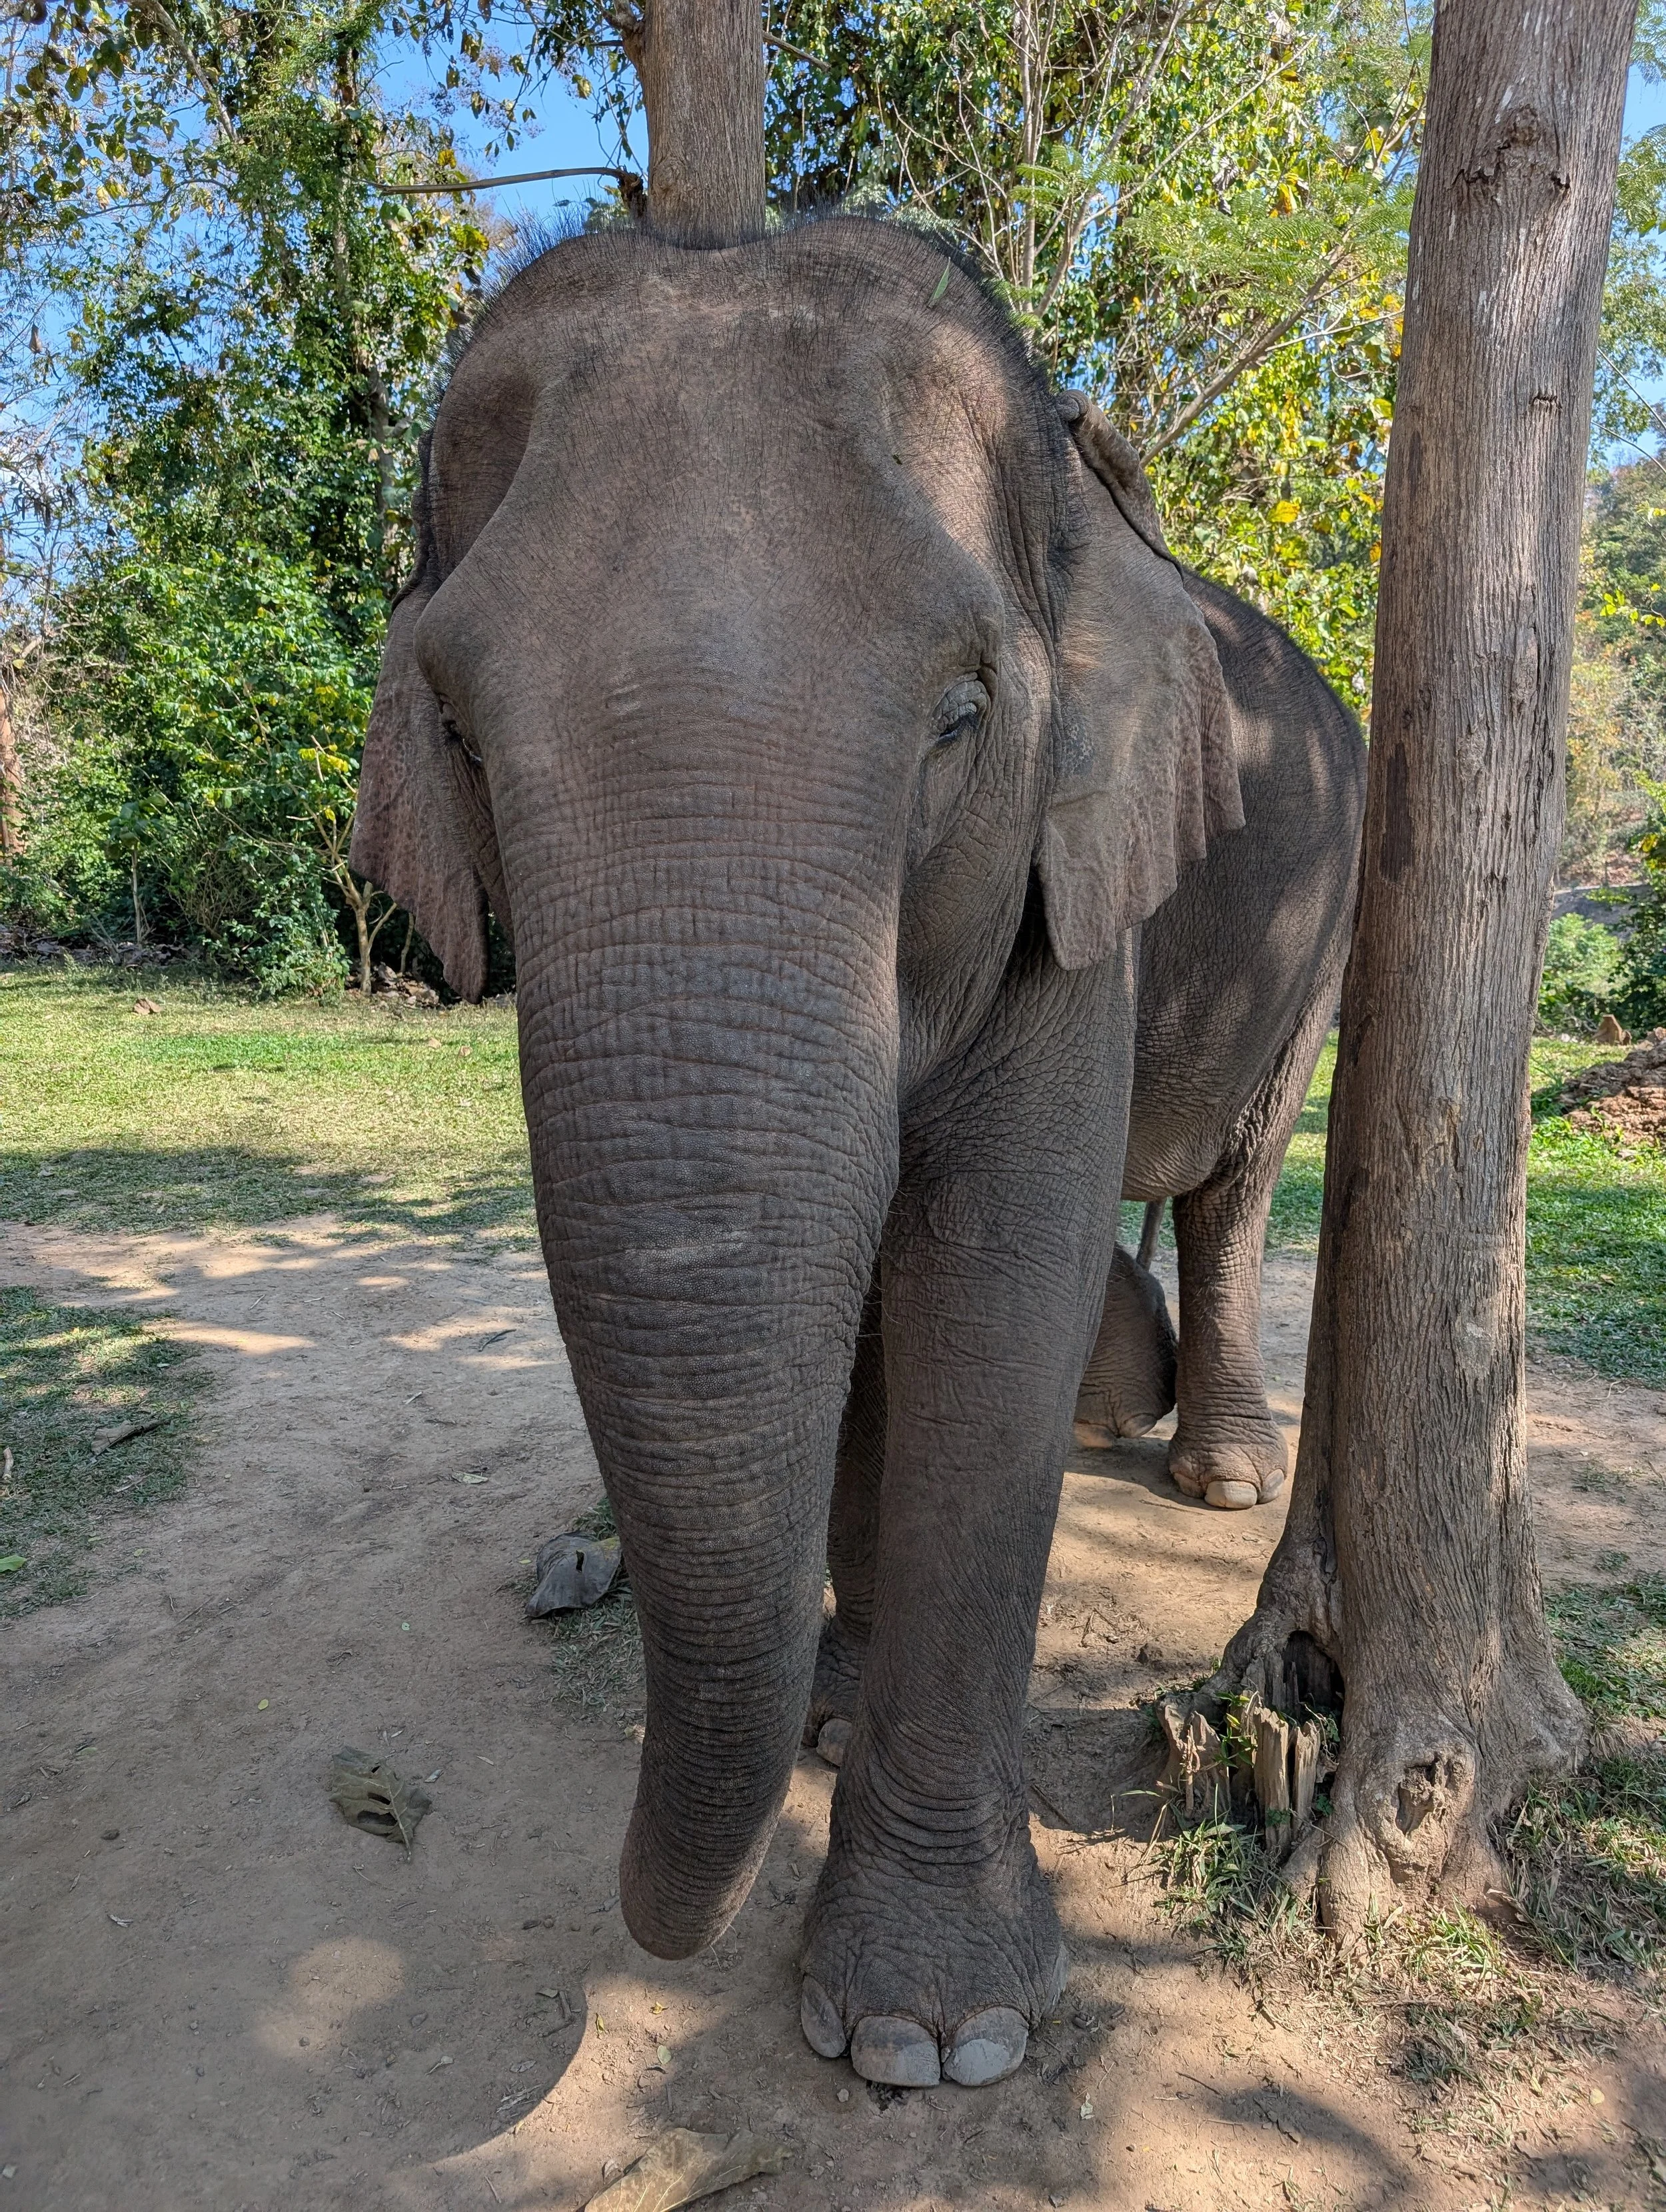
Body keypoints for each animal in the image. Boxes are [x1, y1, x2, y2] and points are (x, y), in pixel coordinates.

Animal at [352, 214, 1364, 2094]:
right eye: (452, 729)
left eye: (963, 711)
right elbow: (873, 1323)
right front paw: (830, 1714)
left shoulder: (1067, 876)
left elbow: (990, 1285)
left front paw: (926, 2039)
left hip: (1319, 926)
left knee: (1234, 1179)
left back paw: (1217, 1474)